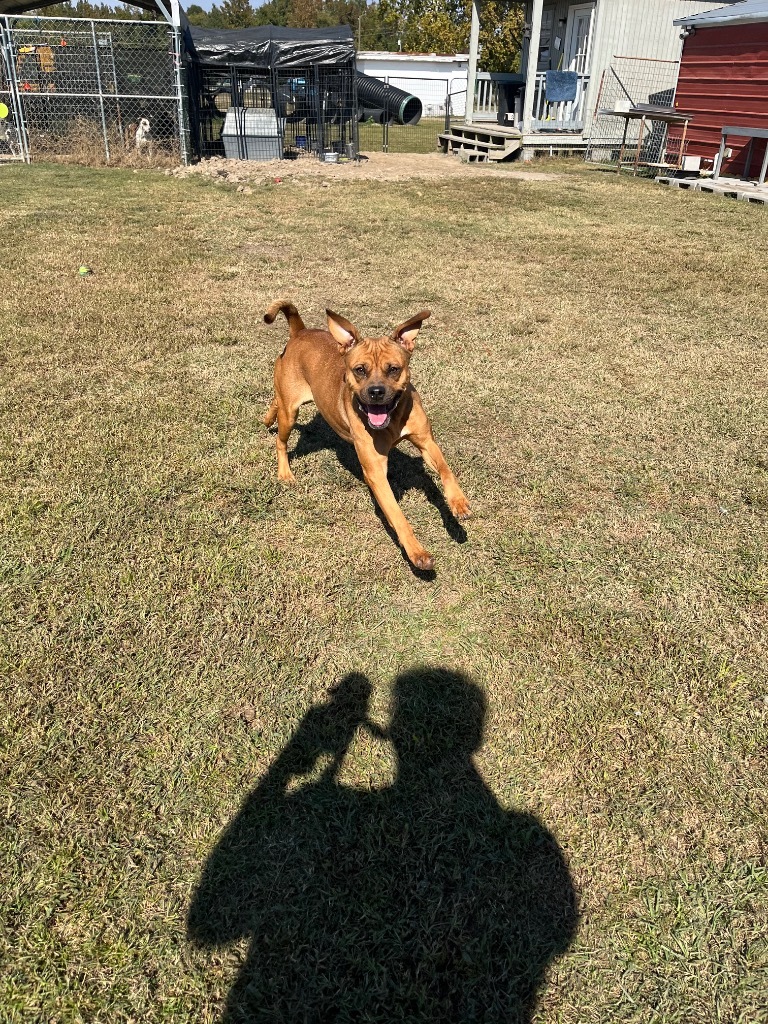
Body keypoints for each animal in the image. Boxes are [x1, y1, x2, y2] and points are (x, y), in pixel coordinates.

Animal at [264, 296, 468, 573]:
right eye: (360, 370)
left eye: (393, 369)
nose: (376, 392)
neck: (392, 421)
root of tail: (300, 332)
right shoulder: (375, 471)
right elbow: (397, 514)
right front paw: (417, 553)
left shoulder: (426, 441)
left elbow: (446, 470)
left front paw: (458, 504)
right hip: (290, 413)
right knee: (280, 440)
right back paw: (284, 472)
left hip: (286, 403)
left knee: (275, 402)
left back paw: (266, 419)